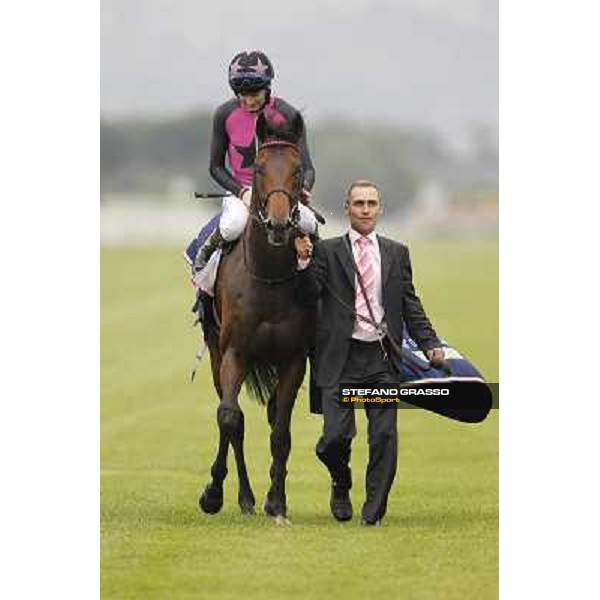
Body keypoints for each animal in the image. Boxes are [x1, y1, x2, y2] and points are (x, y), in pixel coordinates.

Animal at [199, 110, 316, 524]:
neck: (268, 280)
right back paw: (244, 497)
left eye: (297, 170)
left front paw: (277, 502)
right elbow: (230, 418)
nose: (279, 224)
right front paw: (213, 494)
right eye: (260, 168)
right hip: (215, 351)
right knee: (229, 414)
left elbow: (280, 430)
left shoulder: (294, 358)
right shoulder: (234, 352)